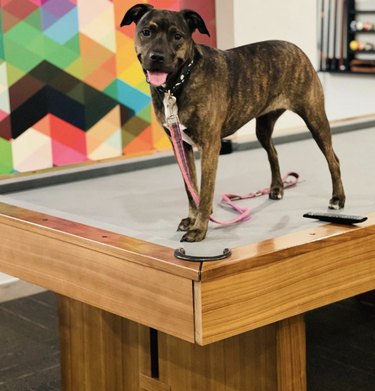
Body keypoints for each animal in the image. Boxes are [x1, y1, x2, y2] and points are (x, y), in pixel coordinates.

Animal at [122, 3, 346, 242]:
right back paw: (277, 188)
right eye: (146, 32)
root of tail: (296, 48)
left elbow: (206, 190)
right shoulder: (180, 145)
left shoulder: (211, 146)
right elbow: (191, 188)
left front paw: (200, 228)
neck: (178, 84)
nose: (157, 57)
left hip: (315, 119)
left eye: (177, 36)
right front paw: (192, 219)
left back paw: (337, 198)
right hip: (263, 128)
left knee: (333, 159)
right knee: (273, 152)